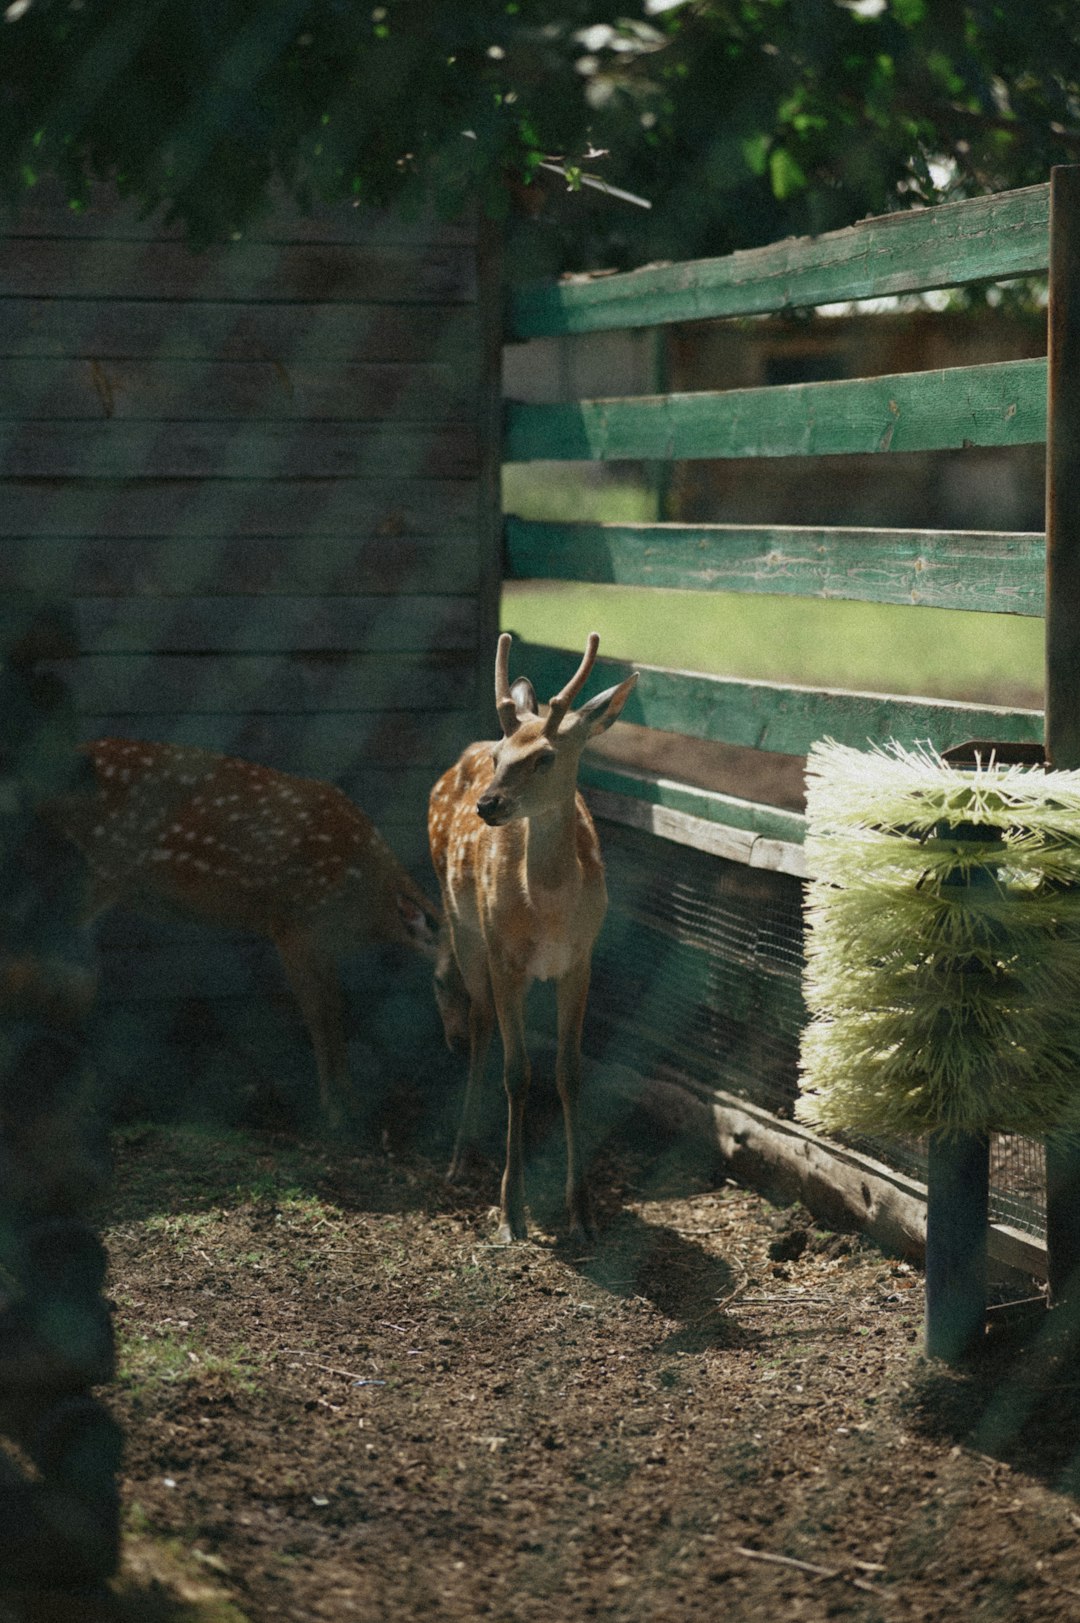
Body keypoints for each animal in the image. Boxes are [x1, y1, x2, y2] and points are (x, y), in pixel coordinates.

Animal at [49, 740, 457, 1129]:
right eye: (439, 981)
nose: (460, 1044)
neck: (367, 906)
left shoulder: (323, 941)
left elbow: (335, 1006)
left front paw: (351, 1102)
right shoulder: (292, 923)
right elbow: (317, 1012)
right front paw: (334, 1111)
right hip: (96, 869)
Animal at [428, 632, 636, 1239]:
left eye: (545, 756)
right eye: (501, 758)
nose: (487, 804)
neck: (549, 913)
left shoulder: (581, 960)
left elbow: (569, 1073)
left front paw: (583, 1212)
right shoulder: (505, 958)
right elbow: (516, 1072)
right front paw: (510, 1211)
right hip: (464, 927)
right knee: (479, 1029)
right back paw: (460, 1155)